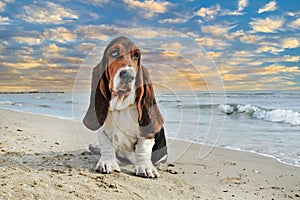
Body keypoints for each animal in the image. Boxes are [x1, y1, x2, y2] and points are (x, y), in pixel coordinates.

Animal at [82, 36, 166, 178]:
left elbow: (143, 147)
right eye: (114, 52)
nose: (128, 75)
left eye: (136, 55)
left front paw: (145, 167)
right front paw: (108, 162)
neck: (120, 108)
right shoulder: (102, 130)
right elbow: (106, 145)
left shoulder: (146, 134)